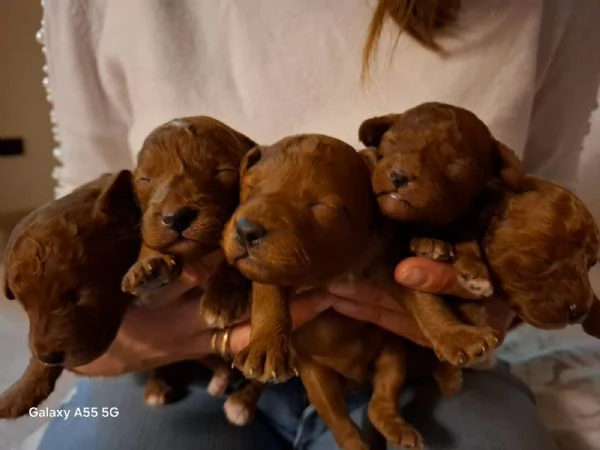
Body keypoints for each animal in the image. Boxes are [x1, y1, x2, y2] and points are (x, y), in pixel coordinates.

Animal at [120, 116, 254, 404]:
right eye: (145, 179)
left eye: (223, 170)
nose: (176, 217)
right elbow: (149, 236)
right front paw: (148, 269)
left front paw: (221, 299)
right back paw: (158, 387)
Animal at [223, 134, 462, 450]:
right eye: (250, 188)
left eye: (321, 206)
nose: (246, 230)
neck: (332, 273)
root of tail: (353, 380)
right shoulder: (270, 270)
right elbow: (268, 293)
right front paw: (265, 345)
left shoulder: (386, 261)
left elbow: (423, 299)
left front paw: (457, 335)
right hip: (316, 375)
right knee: (339, 422)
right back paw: (242, 401)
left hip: (391, 354)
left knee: (380, 400)